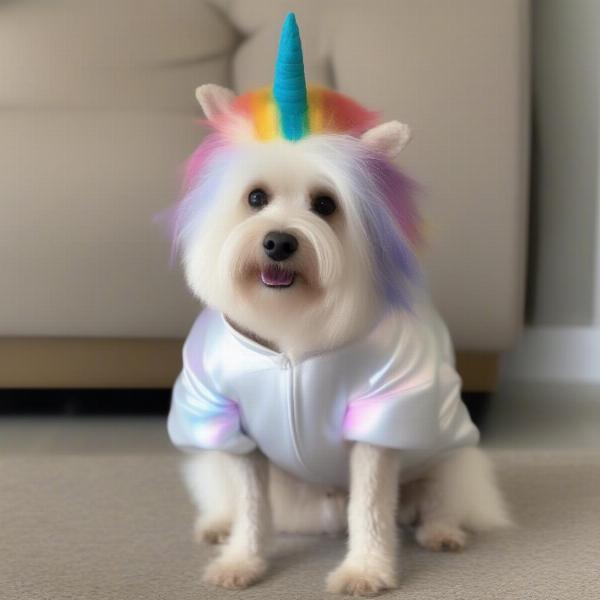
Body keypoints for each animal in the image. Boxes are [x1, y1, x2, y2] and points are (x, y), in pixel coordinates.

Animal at [165, 12, 510, 596]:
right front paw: (241, 561)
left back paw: (441, 531)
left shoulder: (379, 418)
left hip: (451, 449)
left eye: (326, 205)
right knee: (227, 496)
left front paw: (365, 569)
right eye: (255, 197)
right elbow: (251, 507)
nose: (279, 242)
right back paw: (216, 524)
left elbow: (369, 507)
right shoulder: (231, 424)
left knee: (443, 495)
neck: (288, 340)